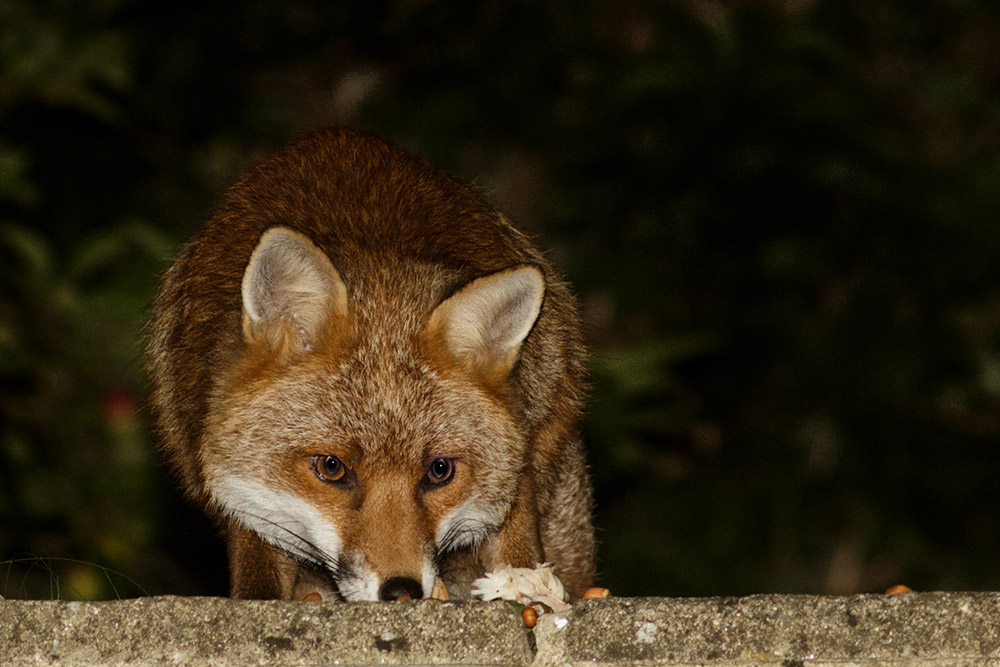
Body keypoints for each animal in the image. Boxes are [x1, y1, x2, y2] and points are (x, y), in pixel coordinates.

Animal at [147, 128, 595, 602]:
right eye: (331, 467)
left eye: (440, 471)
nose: (402, 591)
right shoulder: (241, 489)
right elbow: (257, 566)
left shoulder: (523, 438)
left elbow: (515, 533)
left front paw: (526, 584)